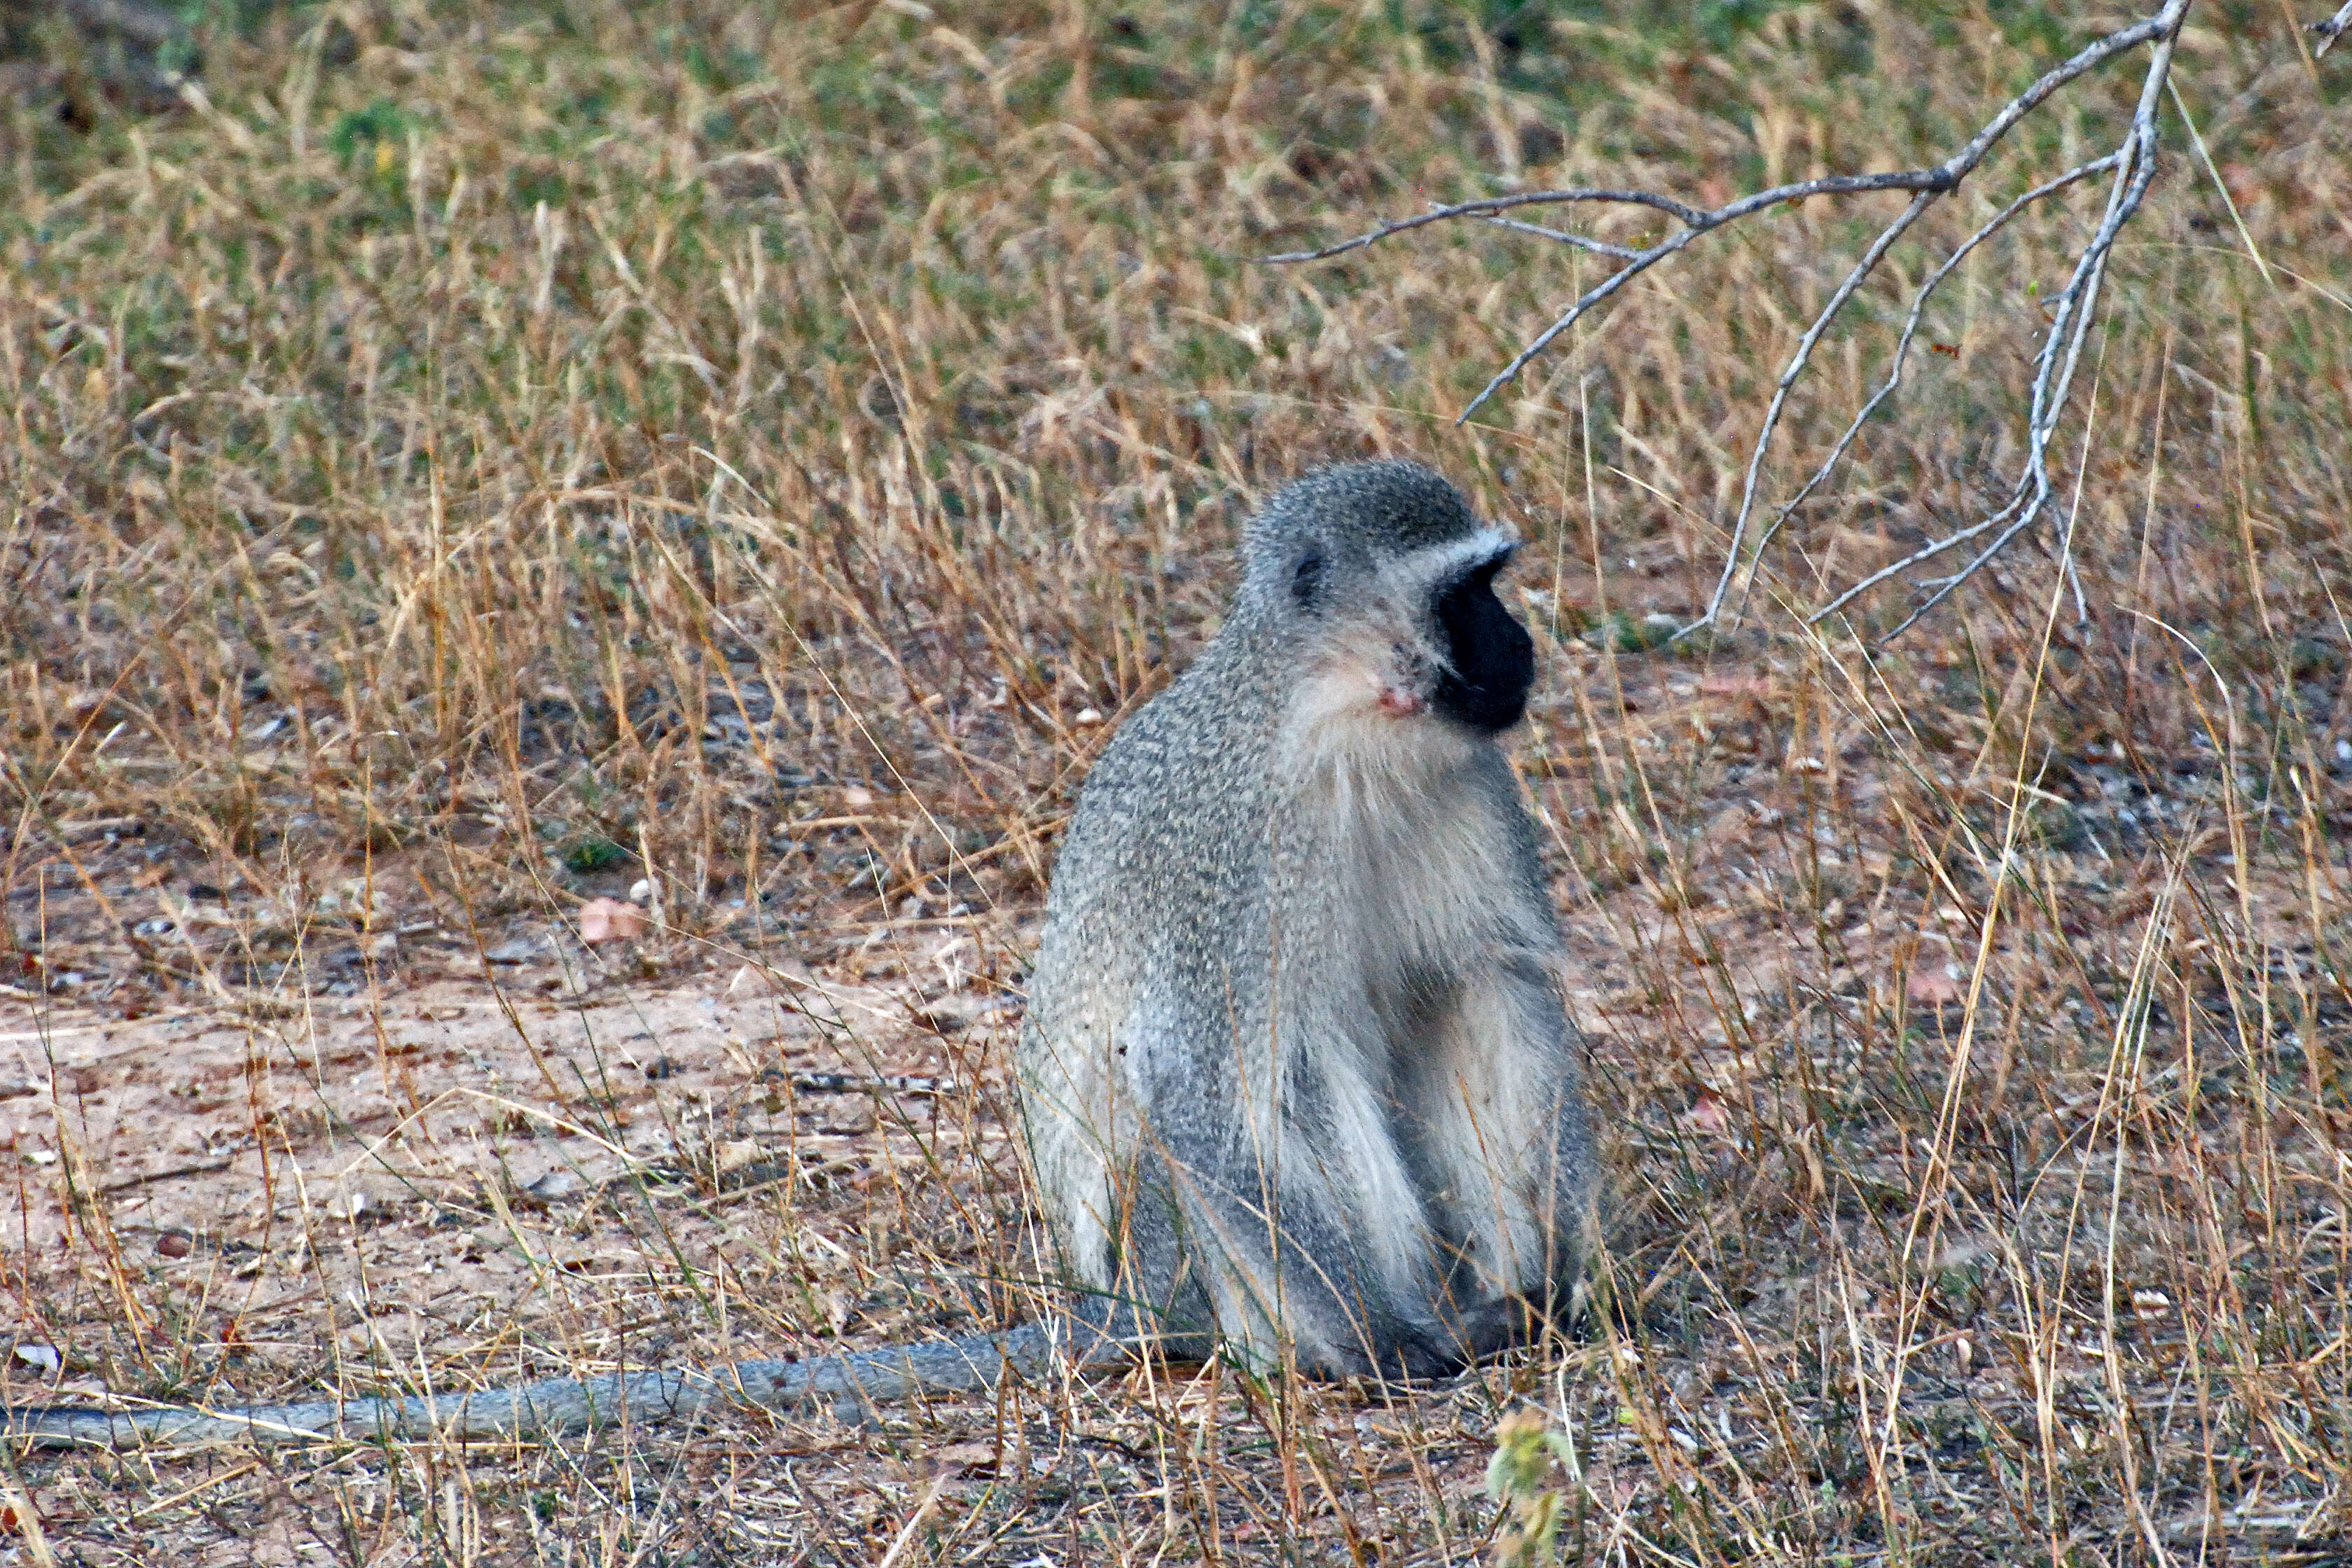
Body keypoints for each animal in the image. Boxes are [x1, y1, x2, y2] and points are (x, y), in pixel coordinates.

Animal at [0, 456, 1590, 1448]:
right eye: (1467, 592)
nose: (1523, 650)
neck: (1347, 734)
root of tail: (1135, 1303)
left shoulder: (1464, 788)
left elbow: (1495, 989)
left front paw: (1556, 1279)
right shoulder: (1230, 845)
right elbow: (1196, 1074)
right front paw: (1381, 1347)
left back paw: (1497, 1296)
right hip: (1190, 1257)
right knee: (1280, 1076)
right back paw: (1347, 1342)